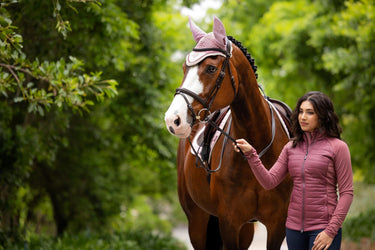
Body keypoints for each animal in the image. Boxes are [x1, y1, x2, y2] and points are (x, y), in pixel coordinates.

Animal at [165, 16, 294, 249]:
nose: (173, 119)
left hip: (245, 229)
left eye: (210, 68)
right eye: (184, 68)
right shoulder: (229, 222)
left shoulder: (277, 225)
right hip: (197, 221)